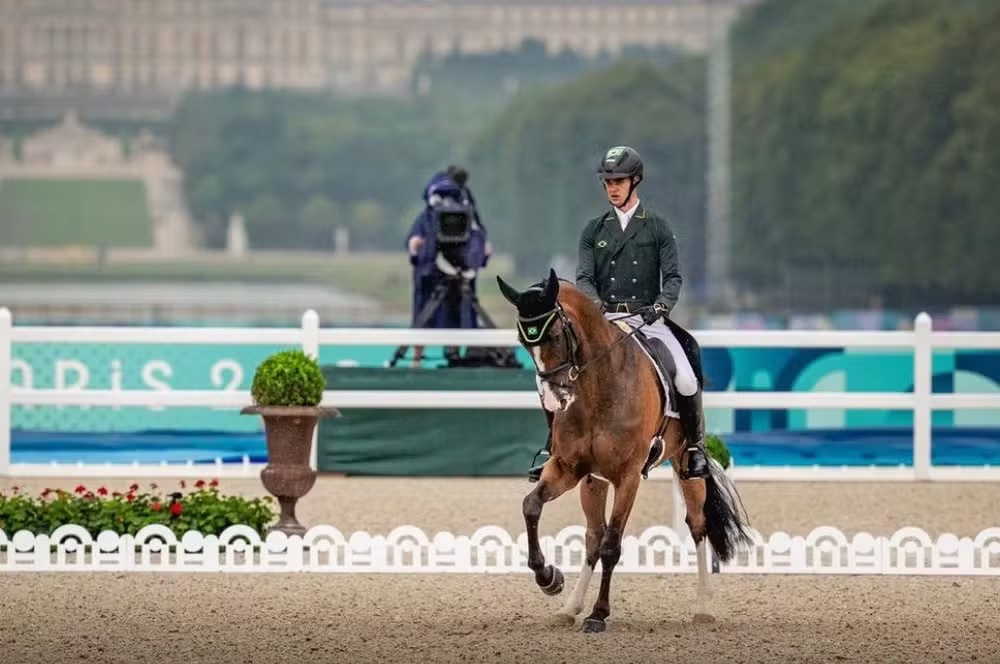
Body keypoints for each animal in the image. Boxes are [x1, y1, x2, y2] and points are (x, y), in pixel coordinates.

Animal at [496, 268, 752, 632]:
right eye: (523, 342)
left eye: (556, 335)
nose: (554, 400)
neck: (598, 386)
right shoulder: (569, 468)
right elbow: (532, 506)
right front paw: (549, 578)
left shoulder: (628, 477)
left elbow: (612, 545)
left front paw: (599, 614)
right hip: (593, 481)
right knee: (592, 537)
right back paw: (569, 607)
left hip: (684, 464)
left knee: (697, 525)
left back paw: (703, 606)